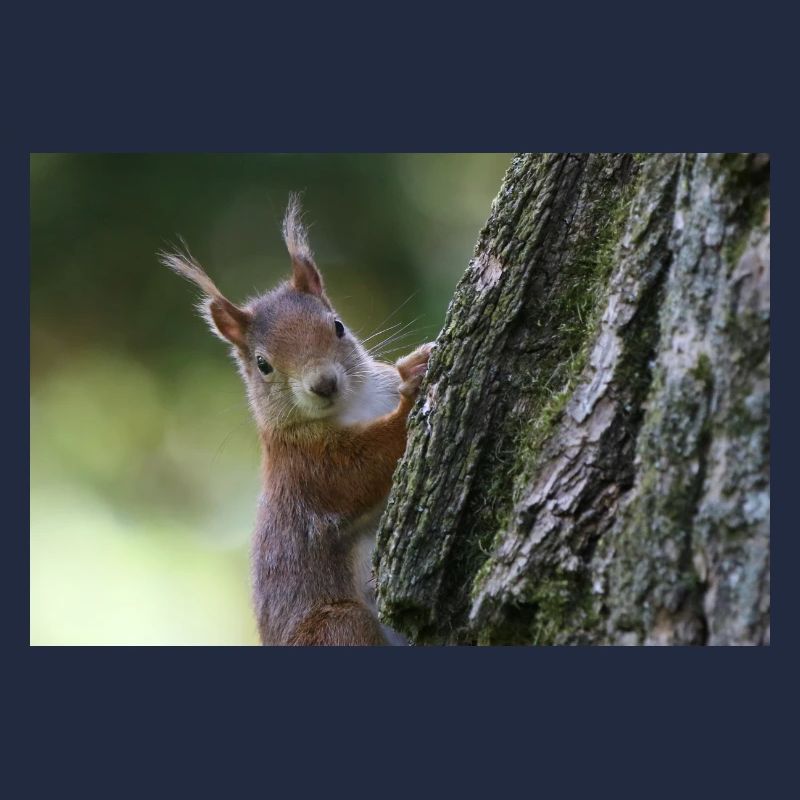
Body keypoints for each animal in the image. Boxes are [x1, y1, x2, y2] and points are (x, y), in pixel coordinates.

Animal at [162, 196, 433, 645]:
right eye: (263, 365)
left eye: (338, 326)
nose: (323, 384)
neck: (355, 403)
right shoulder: (306, 467)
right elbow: (362, 471)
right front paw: (413, 385)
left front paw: (414, 362)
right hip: (338, 626)